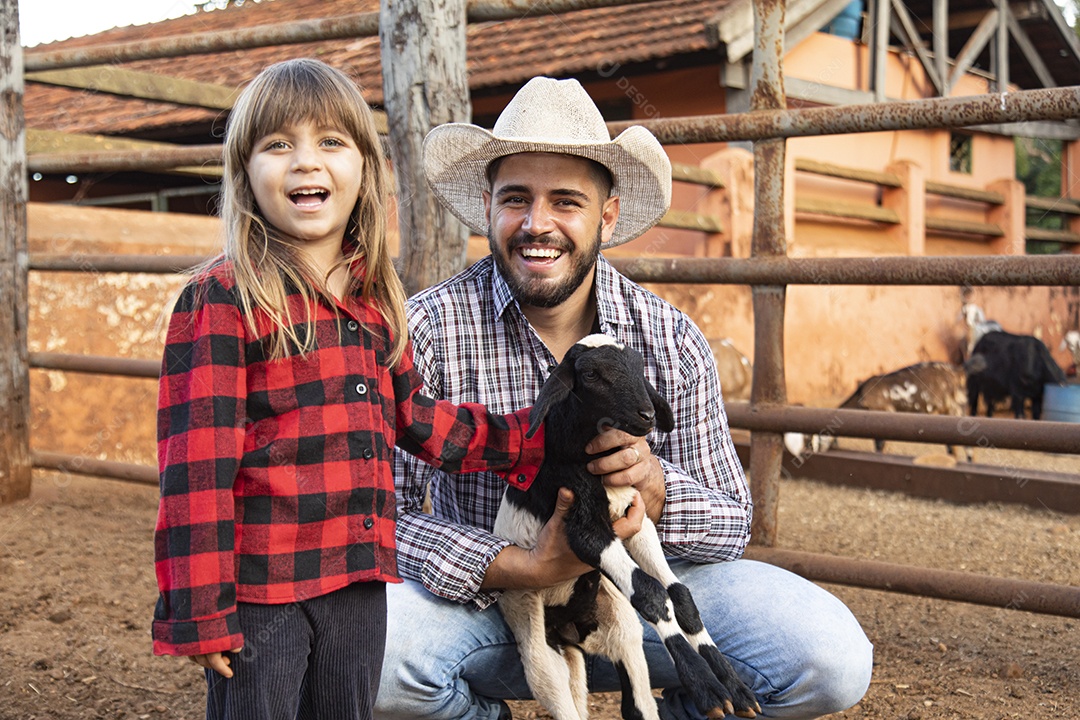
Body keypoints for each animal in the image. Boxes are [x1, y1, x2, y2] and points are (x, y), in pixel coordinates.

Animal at [492, 334, 760, 720]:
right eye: (591, 374)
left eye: (638, 367)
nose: (647, 415)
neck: (585, 459)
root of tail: (572, 634)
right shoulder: (586, 531)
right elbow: (650, 592)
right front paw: (706, 687)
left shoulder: (636, 520)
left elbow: (680, 595)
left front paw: (734, 687)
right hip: (535, 635)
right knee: (556, 690)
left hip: (617, 627)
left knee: (635, 700)